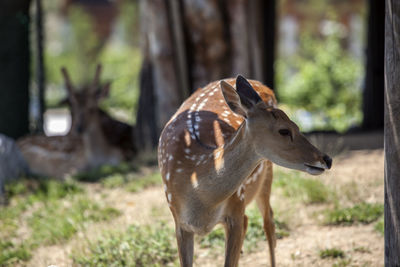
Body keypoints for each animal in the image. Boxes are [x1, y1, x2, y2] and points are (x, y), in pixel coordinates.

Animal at [158, 76, 332, 267]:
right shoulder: (180, 223)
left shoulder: (236, 207)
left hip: (265, 174)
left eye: (297, 125)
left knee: (268, 222)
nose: (327, 159)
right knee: (254, 220)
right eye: (284, 130)